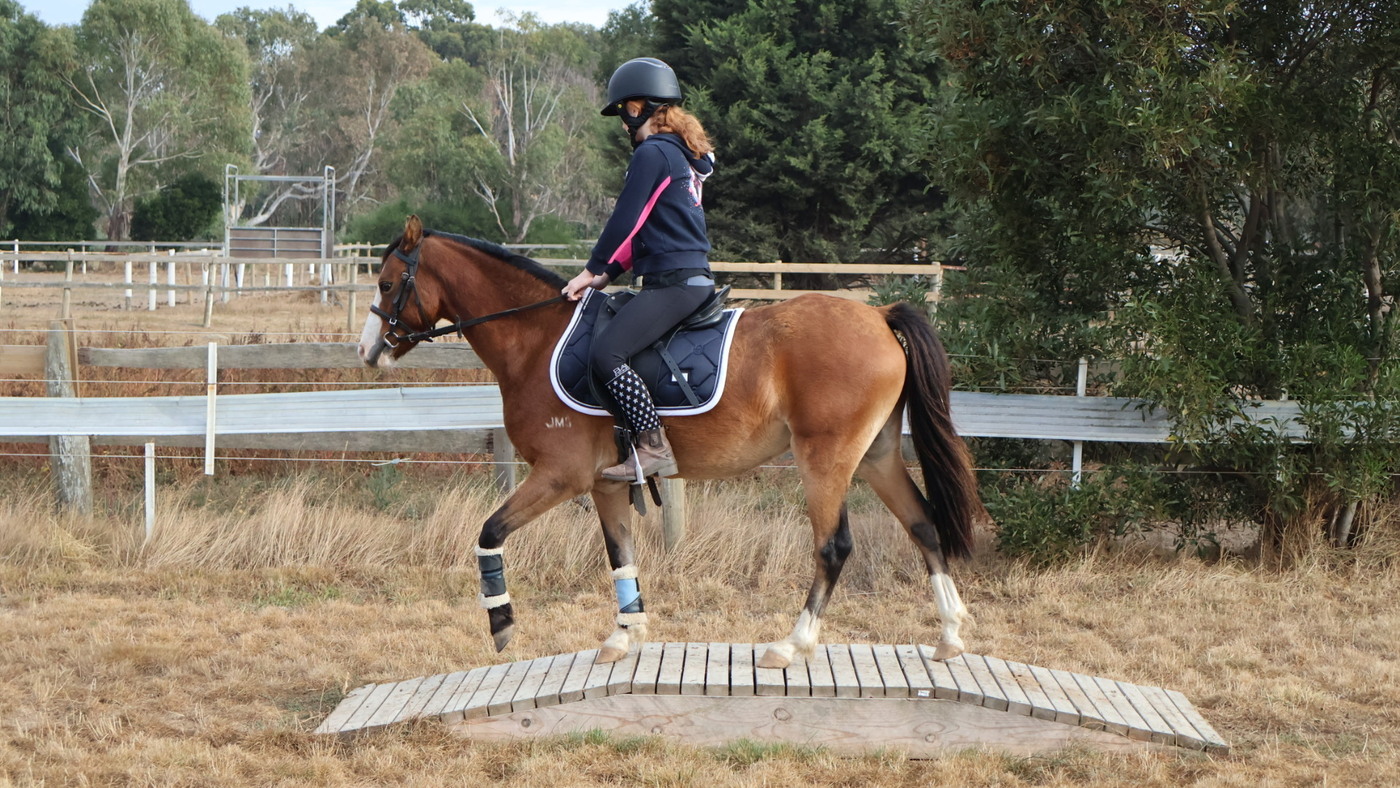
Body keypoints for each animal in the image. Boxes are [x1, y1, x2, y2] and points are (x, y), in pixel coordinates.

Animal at [357, 215, 981, 669]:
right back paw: (950, 635)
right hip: (876, 456)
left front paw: (502, 623)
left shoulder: (560, 475)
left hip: (824, 460)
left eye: (387, 283)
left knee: (833, 546)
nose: (367, 351)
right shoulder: (606, 484)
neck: (537, 338)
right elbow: (621, 557)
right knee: (924, 525)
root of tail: (878, 315)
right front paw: (625, 636)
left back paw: (793, 644)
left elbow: (489, 533)